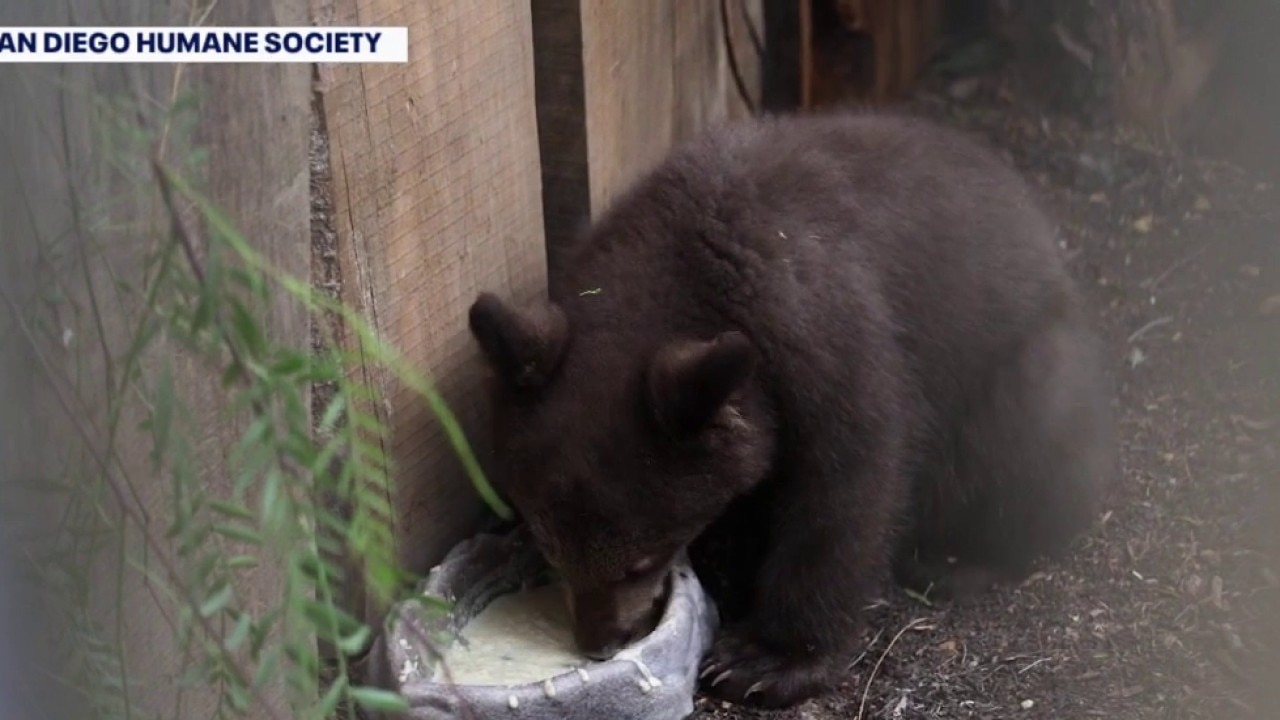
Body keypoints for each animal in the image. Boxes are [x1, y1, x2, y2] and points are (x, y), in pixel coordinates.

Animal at [465, 110, 1116, 709]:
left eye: (642, 559)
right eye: (550, 549)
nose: (602, 642)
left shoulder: (827, 336)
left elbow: (846, 490)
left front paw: (765, 660)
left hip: (1030, 372)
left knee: (1027, 440)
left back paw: (963, 559)